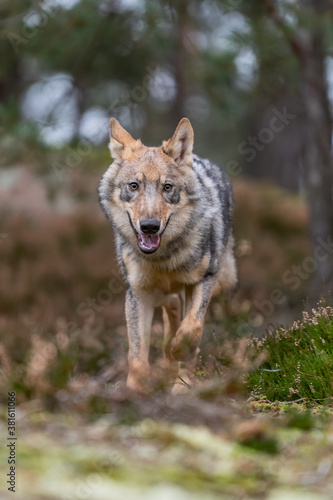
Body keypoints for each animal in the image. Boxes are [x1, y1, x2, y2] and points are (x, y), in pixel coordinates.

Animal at [98, 118, 236, 394]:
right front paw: (136, 390)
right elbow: (137, 355)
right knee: (171, 306)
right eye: (134, 186)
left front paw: (181, 371)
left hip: (218, 280)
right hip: (159, 292)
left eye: (167, 187)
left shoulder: (203, 280)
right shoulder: (138, 293)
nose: (149, 226)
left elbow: (192, 328)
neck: (162, 258)